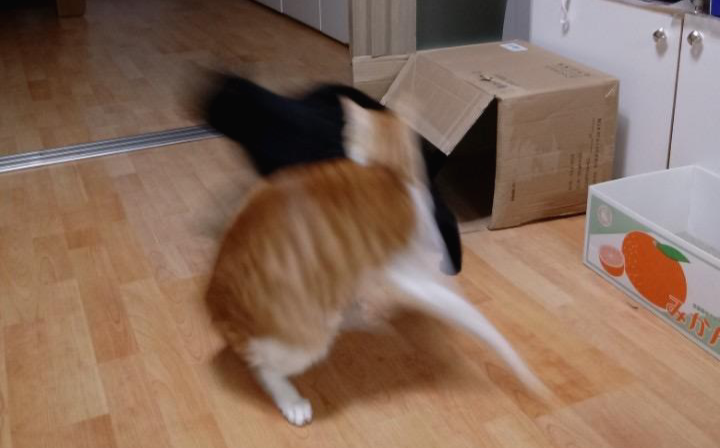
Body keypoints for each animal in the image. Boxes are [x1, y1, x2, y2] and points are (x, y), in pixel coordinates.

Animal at [205, 99, 545, 426]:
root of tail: (216, 304)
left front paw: (360, 316)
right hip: (305, 341)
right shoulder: (410, 273)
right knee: (264, 368)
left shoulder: (355, 268)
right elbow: (468, 314)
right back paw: (292, 400)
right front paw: (521, 369)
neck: (388, 170)